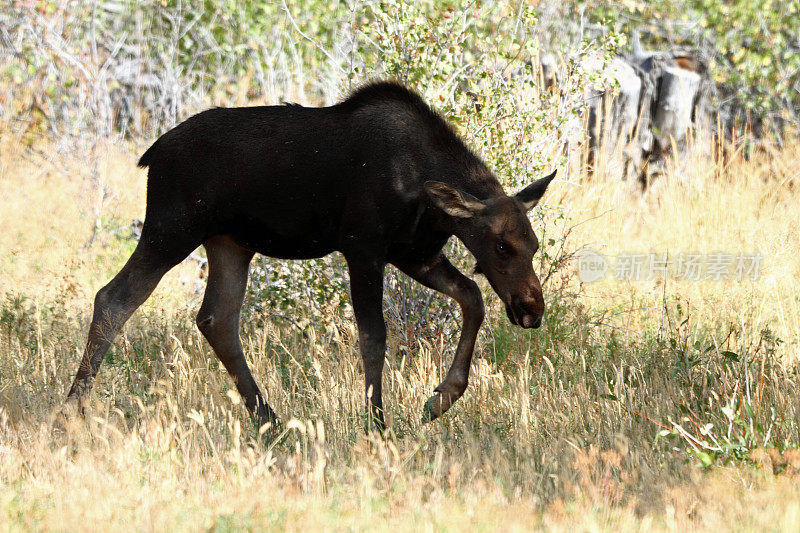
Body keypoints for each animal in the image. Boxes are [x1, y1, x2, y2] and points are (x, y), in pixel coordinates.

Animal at [67, 83, 556, 432]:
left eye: (534, 245)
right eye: (500, 246)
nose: (532, 309)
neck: (428, 199)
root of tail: (151, 156)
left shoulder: (414, 254)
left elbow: (472, 297)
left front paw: (439, 399)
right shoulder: (363, 247)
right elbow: (374, 336)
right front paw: (377, 425)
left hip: (230, 244)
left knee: (216, 318)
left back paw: (269, 420)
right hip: (171, 229)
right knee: (114, 298)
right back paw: (71, 410)